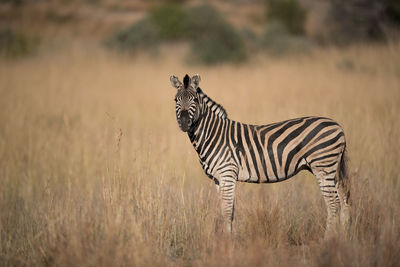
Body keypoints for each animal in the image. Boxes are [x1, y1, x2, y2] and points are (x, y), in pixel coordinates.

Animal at [170, 73, 352, 237]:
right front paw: (227, 240)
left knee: (334, 204)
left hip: (322, 166)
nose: (184, 123)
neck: (213, 134)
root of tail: (339, 127)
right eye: (176, 100)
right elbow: (227, 211)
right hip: (332, 170)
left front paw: (227, 243)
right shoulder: (218, 178)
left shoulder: (227, 173)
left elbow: (227, 211)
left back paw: (328, 241)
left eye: (194, 100)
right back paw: (342, 240)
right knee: (343, 200)